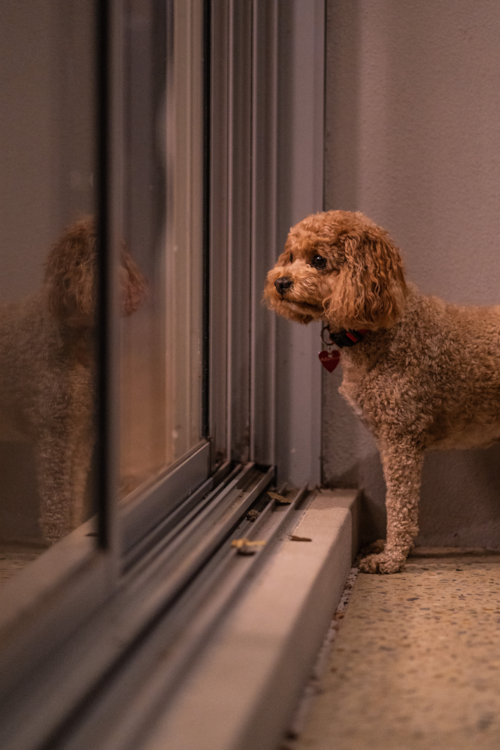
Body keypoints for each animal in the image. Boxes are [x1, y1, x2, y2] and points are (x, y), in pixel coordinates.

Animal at [0, 217, 146, 548]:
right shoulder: (55, 431)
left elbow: (75, 490)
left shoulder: (82, 433)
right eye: (93, 254)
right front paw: (57, 540)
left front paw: (72, 531)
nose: (124, 285)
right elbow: (55, 497)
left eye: (120, 253)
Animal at [266, 212, 500, 576]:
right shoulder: (387, 438)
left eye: (318, 260)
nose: (280, 282)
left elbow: (398, 502)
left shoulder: (400, 437)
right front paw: (388, 549)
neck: (382, 328)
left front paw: (391, 558)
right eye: (291, 256)